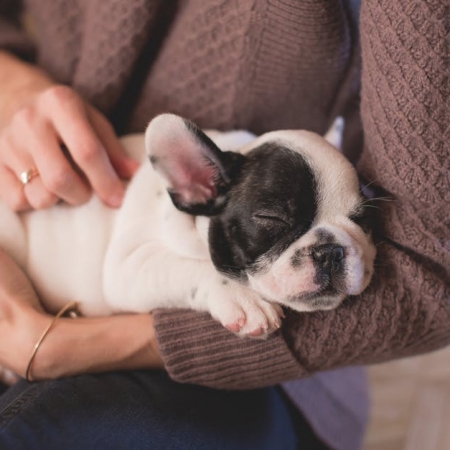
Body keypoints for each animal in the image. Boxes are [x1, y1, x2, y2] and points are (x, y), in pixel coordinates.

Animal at [0, 114, 376, 340]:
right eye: (272, 219)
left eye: (362, 218)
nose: (330, 251)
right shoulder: (128, 265)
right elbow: (189, 267)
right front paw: (241, 298)